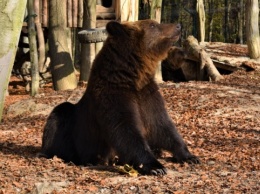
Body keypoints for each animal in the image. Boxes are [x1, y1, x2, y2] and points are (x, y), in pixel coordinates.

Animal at [40, 19, 199, 176]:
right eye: (153, 25)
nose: (178, 25)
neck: (133, 76)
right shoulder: (113, 95)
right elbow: (124, 129)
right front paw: (156, 166)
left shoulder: (146, 94)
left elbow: (161, 125)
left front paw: (190, 156)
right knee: (58, 115)